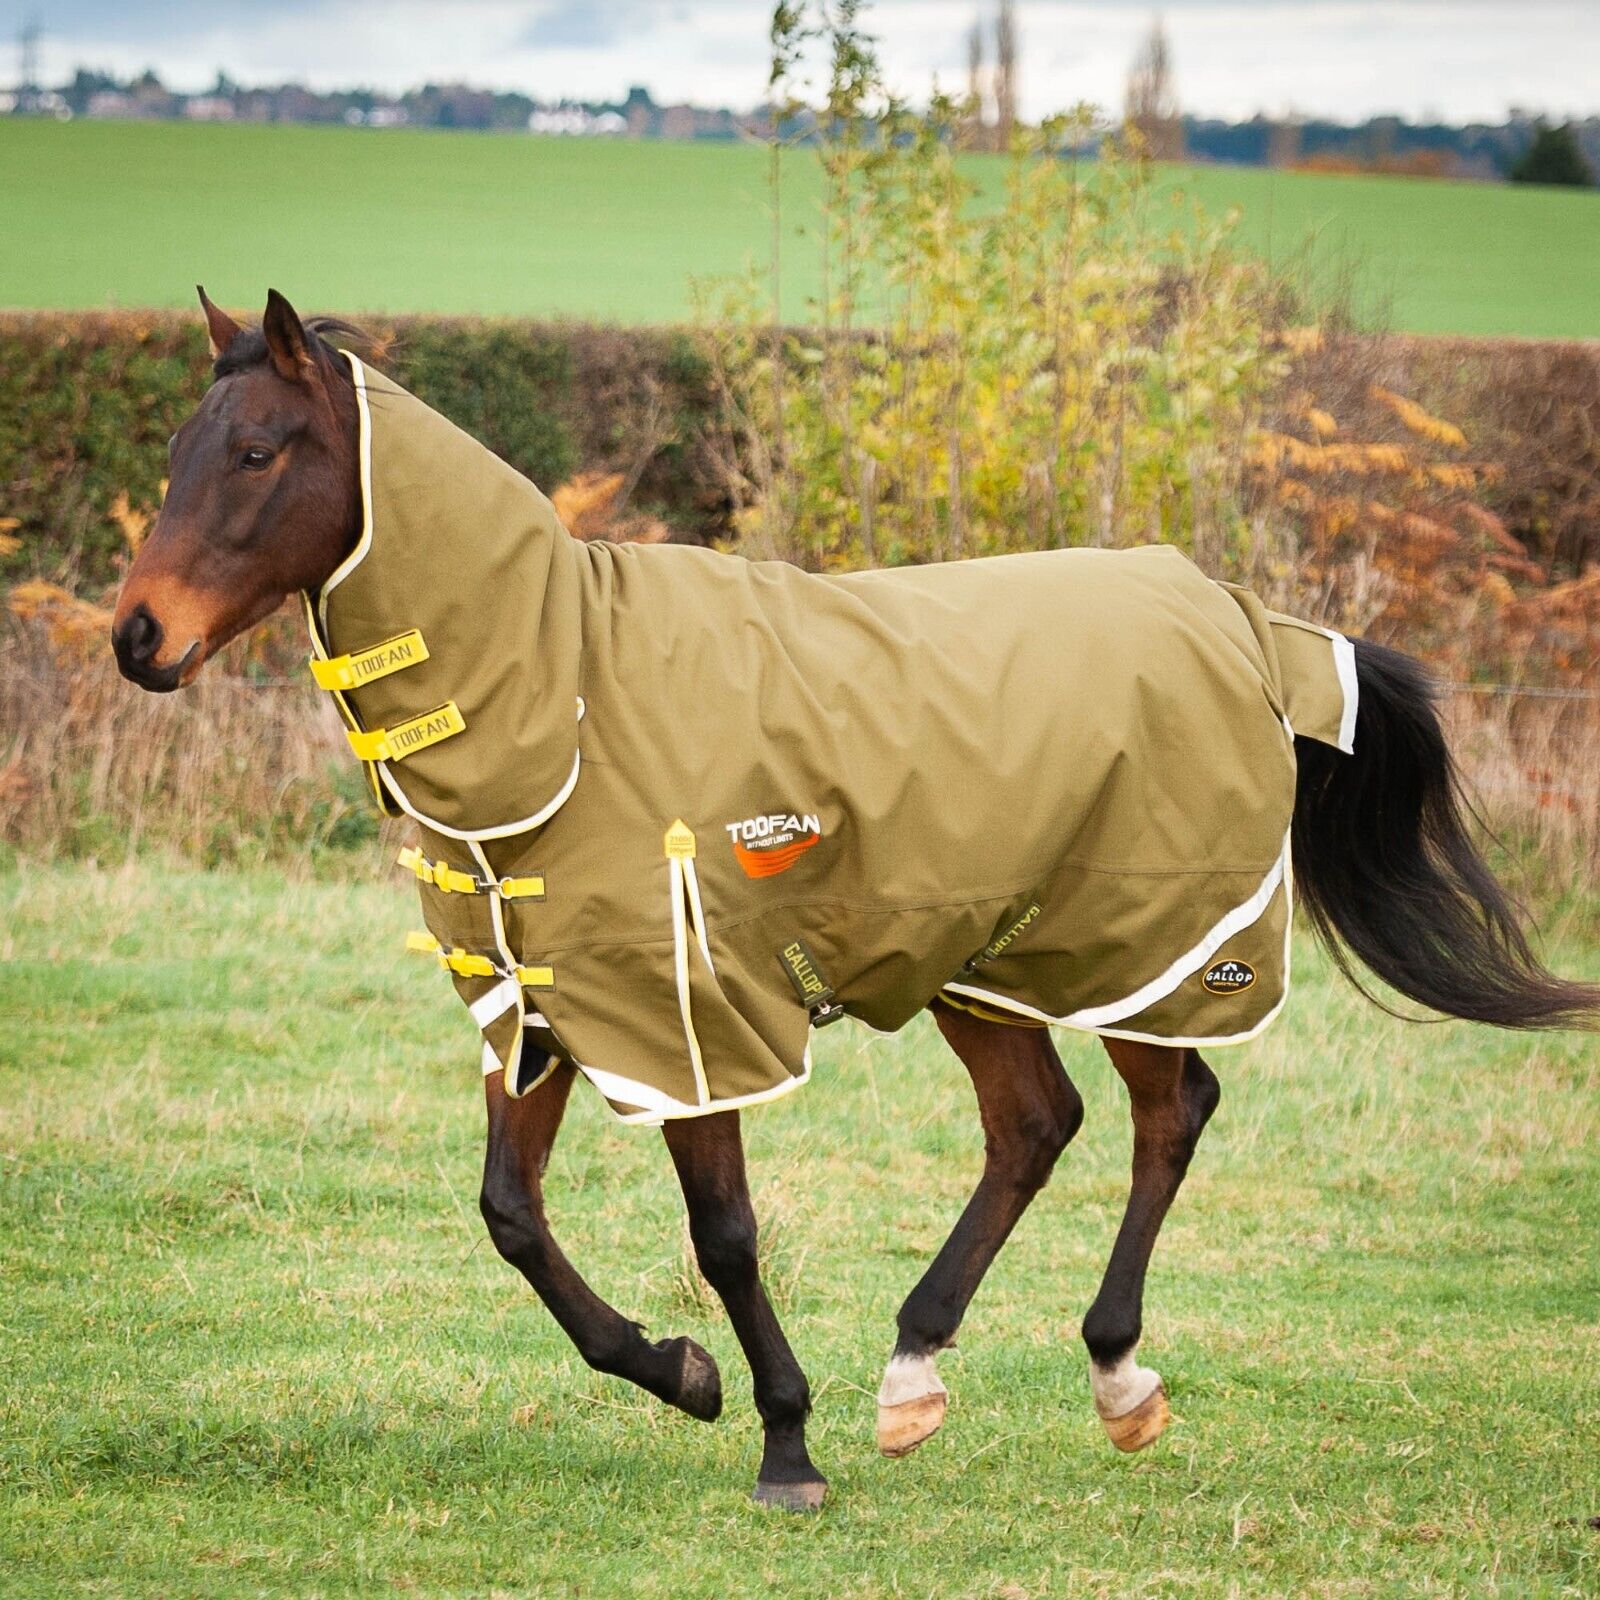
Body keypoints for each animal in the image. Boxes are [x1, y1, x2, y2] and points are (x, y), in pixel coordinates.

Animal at [111, 289, 1598, 1512]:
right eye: (179, 449)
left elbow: (722, 1234)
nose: (138, 638)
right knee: (1035, 1126)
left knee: (1169, 1112)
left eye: (257, 454)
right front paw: (681, 1373)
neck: (565, 697)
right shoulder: (545, 1006)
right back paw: (915, 1373)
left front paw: (782, 1441)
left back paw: (1114, 1377)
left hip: (1139, 949)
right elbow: (510, 1216)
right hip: (982, 956)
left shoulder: (688, 1016)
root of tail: (1239, 615)